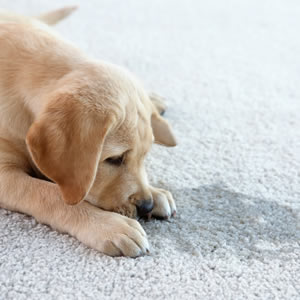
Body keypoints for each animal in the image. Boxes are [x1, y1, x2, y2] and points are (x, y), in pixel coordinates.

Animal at [0, 7, 177, 256]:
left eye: (144, 156)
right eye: (114, 159)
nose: (146, 205)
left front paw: (156, 192)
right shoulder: (5, 173)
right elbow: (49, 193)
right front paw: (108, 225)